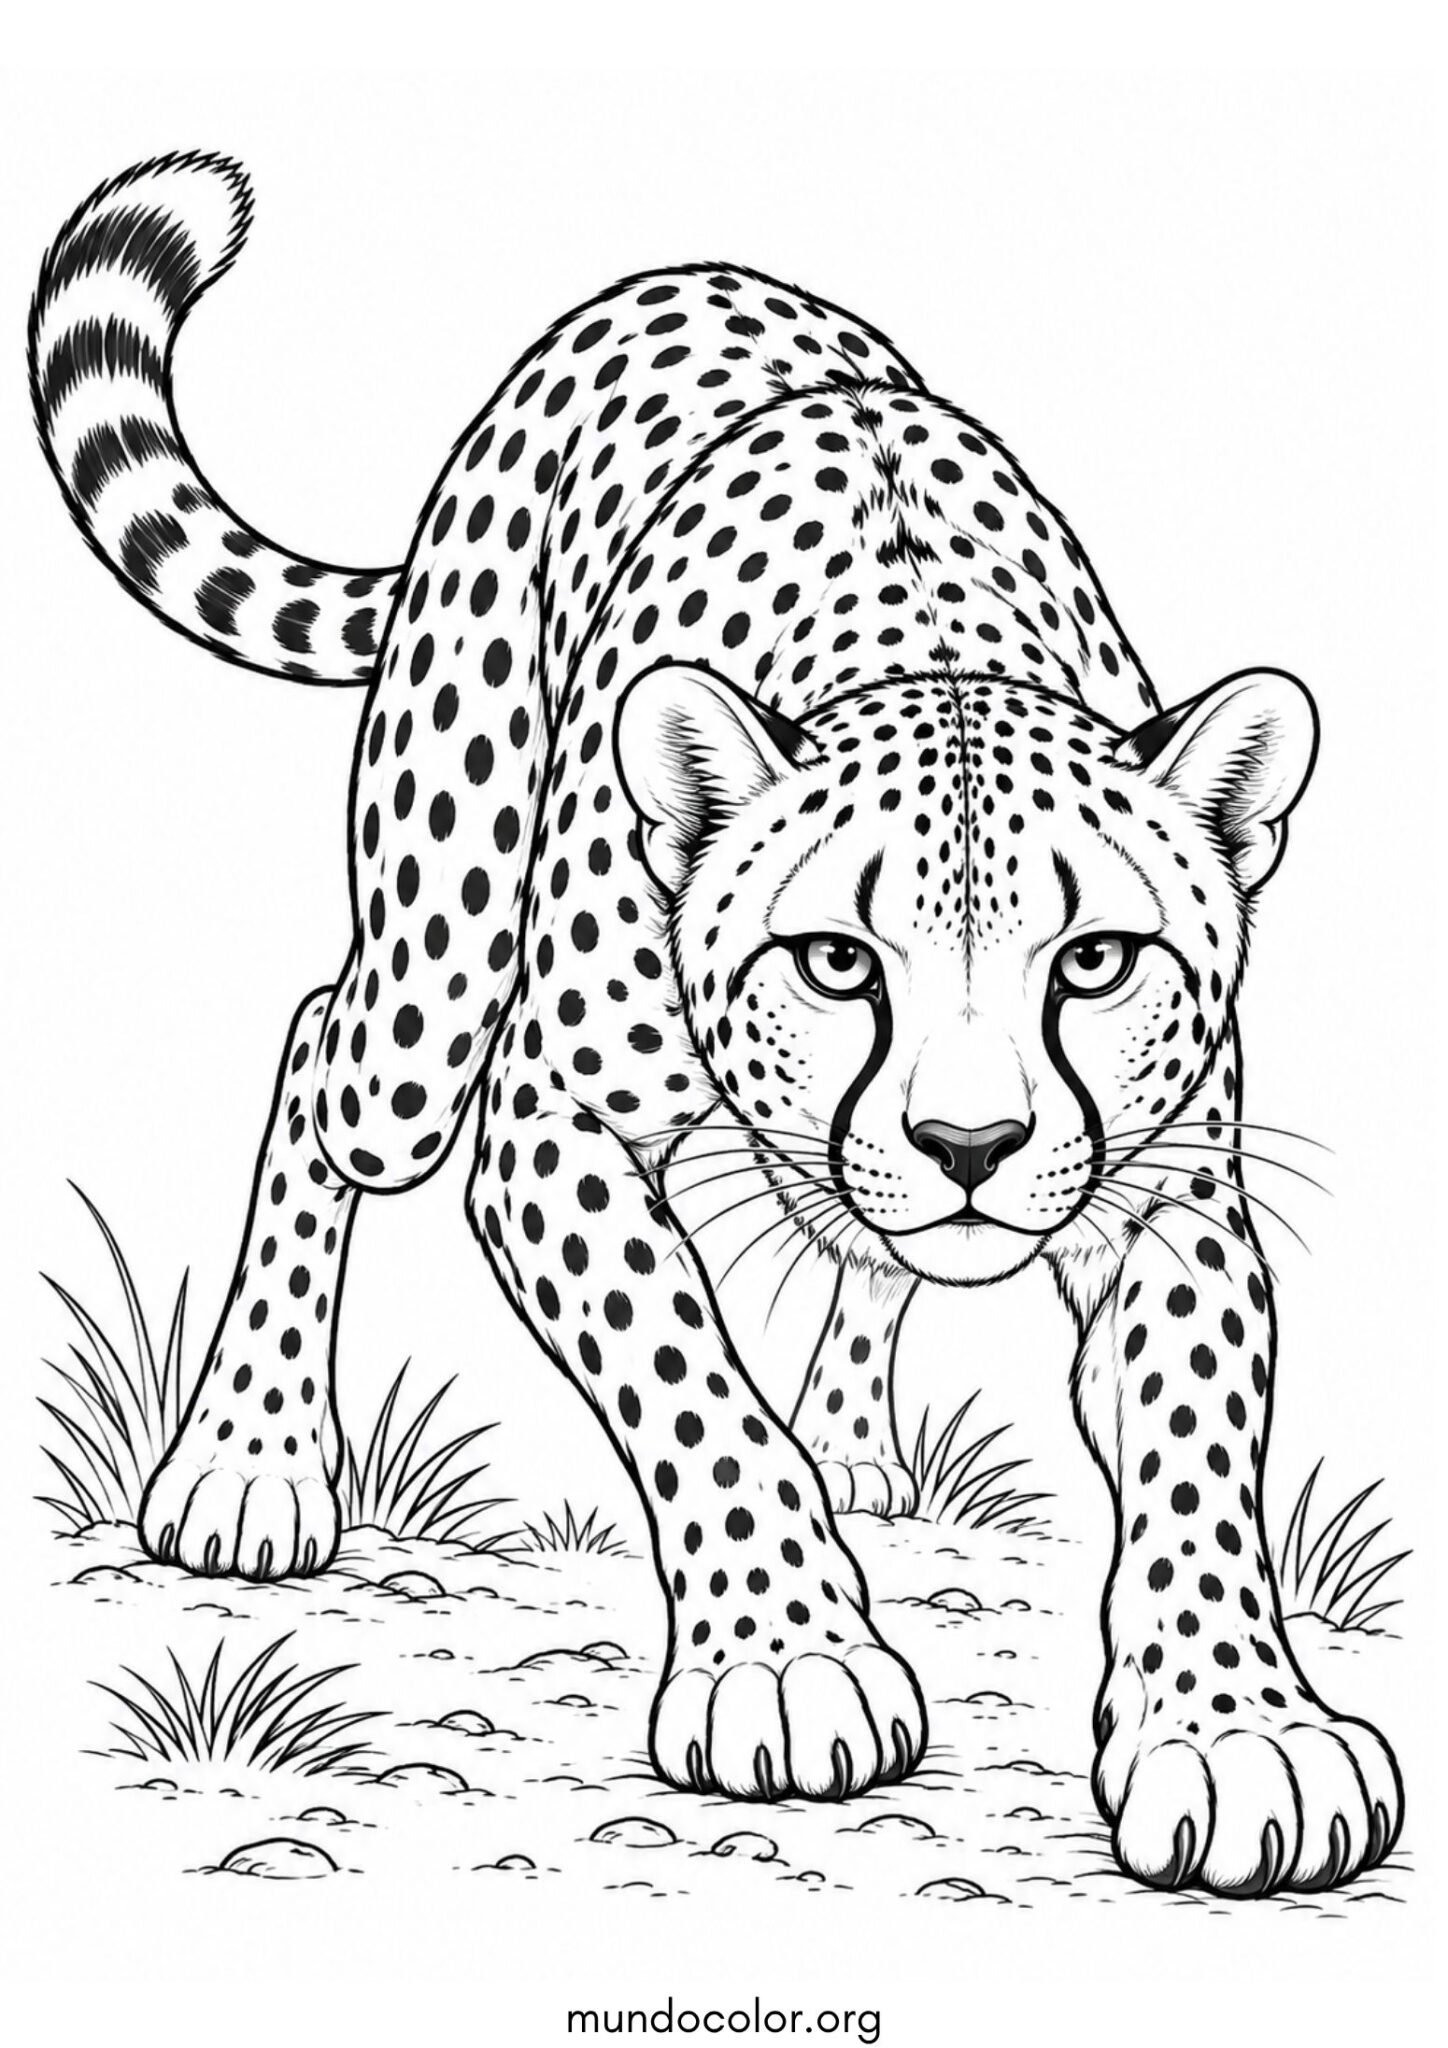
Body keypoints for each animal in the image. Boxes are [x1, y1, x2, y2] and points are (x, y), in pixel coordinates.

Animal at [30, 152, 1403, 1895]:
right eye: (834, 960)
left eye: (1095, 961)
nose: (971, 1143)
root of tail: (675, 277)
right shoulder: (544, 1128)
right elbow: (691, 1385)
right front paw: (791, 1658)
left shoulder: (1170, 1195)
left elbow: (1194, 1448)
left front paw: (1235, 1730)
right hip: (426, 986)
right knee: (324, 1042)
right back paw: (249, 1458)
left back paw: (862, 1444)